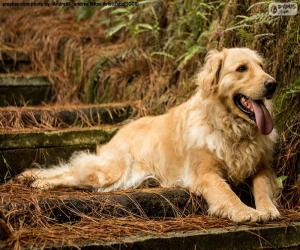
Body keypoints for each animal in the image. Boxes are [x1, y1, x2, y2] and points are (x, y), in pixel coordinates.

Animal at [19, 48, 282, 223]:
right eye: (241, 69)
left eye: (261, 66)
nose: (273, 84)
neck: (231, 127)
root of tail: (122, 129)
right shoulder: (204, 173)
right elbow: (225, 191)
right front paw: (245, 211)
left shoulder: (263, 166)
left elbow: (261, 187)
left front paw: (267, 208)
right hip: (112, 171)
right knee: (72, 171)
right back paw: (38, 181)